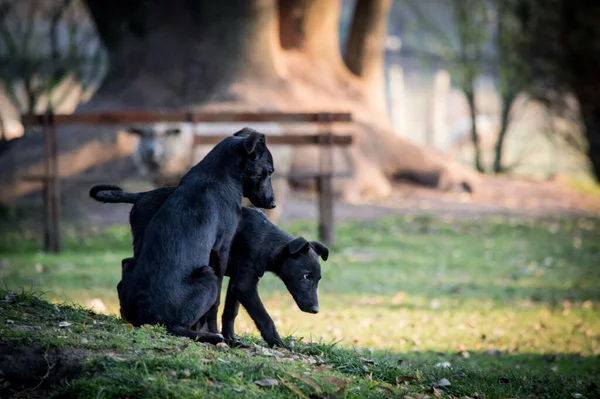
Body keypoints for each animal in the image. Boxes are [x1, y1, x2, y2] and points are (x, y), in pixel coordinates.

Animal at [91, 188, 330, 346]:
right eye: (306, 276)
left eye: (318, 279)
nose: (316, 310)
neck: (267, 239)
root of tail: (141, 195)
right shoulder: (245, 284)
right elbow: (263, 316)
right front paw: (277, 342)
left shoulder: (237, 282)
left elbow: (230, 312)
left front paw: (230, 337)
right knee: (127, 268)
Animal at [106, 129, 276, 344]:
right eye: (268, 171)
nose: (273, 203)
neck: (218, 173)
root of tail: (152, 317)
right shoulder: (221, 249)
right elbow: (215, 304)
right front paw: (217, 332)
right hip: (207, 275)